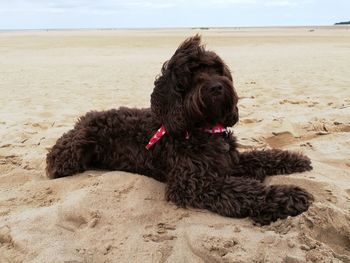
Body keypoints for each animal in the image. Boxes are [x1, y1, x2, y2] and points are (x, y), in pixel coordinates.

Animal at [45, 34, 314, 225]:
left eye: (217, 69)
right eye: (190, 75)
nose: (217, 86)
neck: (203, 129)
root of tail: (80, 122)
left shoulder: (230, 161)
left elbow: (260, 156)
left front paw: (293, 159)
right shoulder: (192, 182)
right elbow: (242, 189)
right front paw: (287, 195)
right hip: (74, 152)